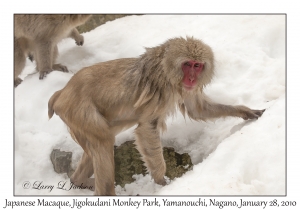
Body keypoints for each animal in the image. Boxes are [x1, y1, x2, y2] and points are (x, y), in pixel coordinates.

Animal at [48, 36, 264, 195]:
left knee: (100, 142)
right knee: (103, 141)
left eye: (197, 65)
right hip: (78, 110)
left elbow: (198, 109)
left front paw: (243, 110)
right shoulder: (161, 90)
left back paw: (78, 180)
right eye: (188, 64)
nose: (192, 78)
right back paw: (105, 193)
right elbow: (147, 129)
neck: (167, 69)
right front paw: (162, 180)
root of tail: (62, 93)